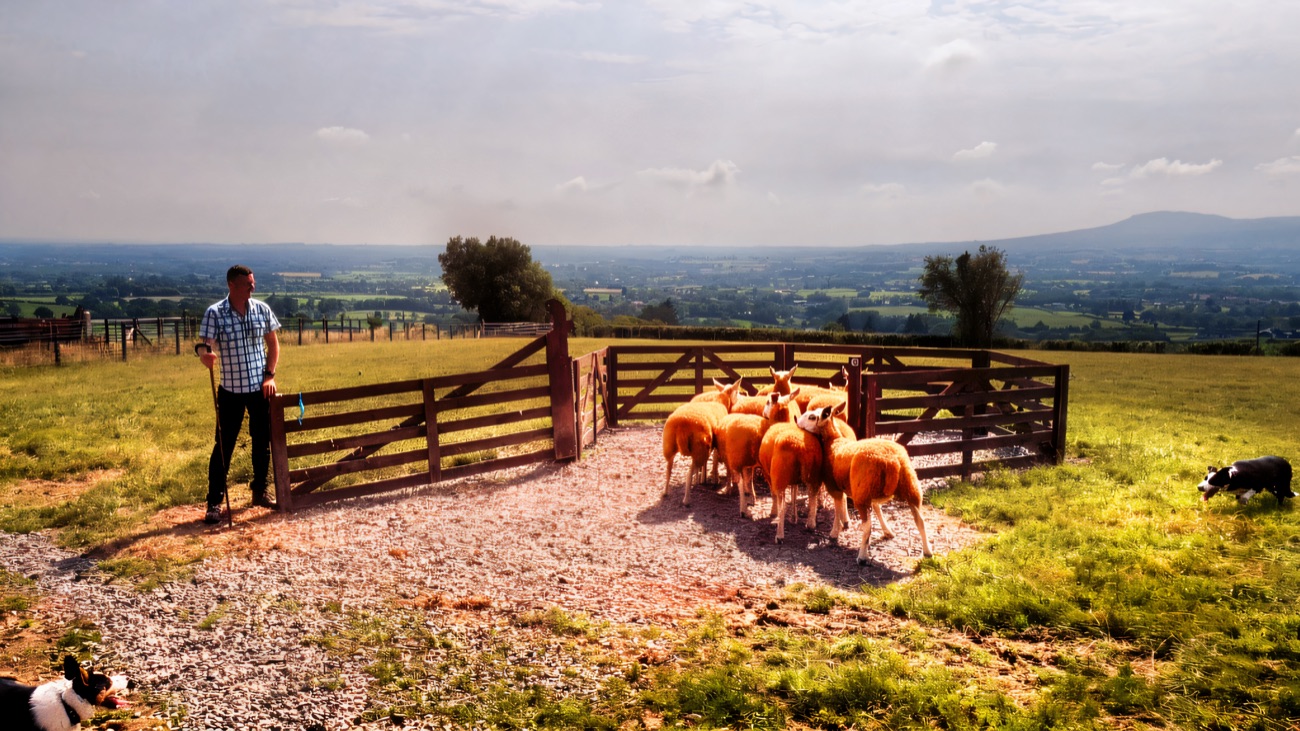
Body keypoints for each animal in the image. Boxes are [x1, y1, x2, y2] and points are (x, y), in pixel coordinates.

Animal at [798, 404, 933, 564]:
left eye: (812, 417)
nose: (797, 422)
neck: (833, 441)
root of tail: (892, 461)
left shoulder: (834, 486)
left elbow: (837, 509)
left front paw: (834, 532)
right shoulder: (870, 492)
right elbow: (876, 507)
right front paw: (887, 531)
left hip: (863, 493)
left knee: (867, 526)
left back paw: (862, 556)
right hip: (910, 487)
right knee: (920, 520)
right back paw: (928, 552)